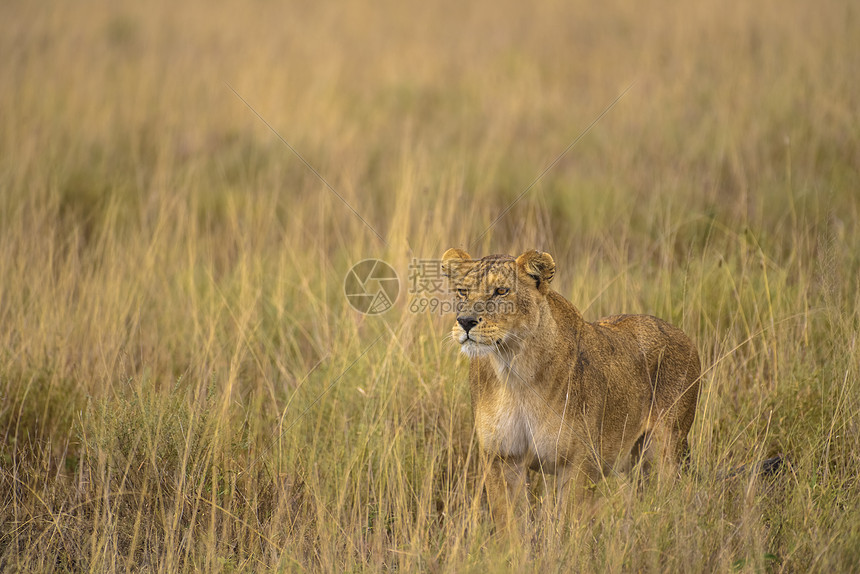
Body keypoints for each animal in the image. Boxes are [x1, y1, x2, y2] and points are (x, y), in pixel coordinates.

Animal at [444, 248, 700, 528]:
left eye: (501, 291)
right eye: (462, 291)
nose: (465, 321)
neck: (513, 371)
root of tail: (683, 335)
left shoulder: (578, 463)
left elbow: (567, 524)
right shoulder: (501, 459)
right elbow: (510, 526)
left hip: (664, 448)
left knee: (671, 497)